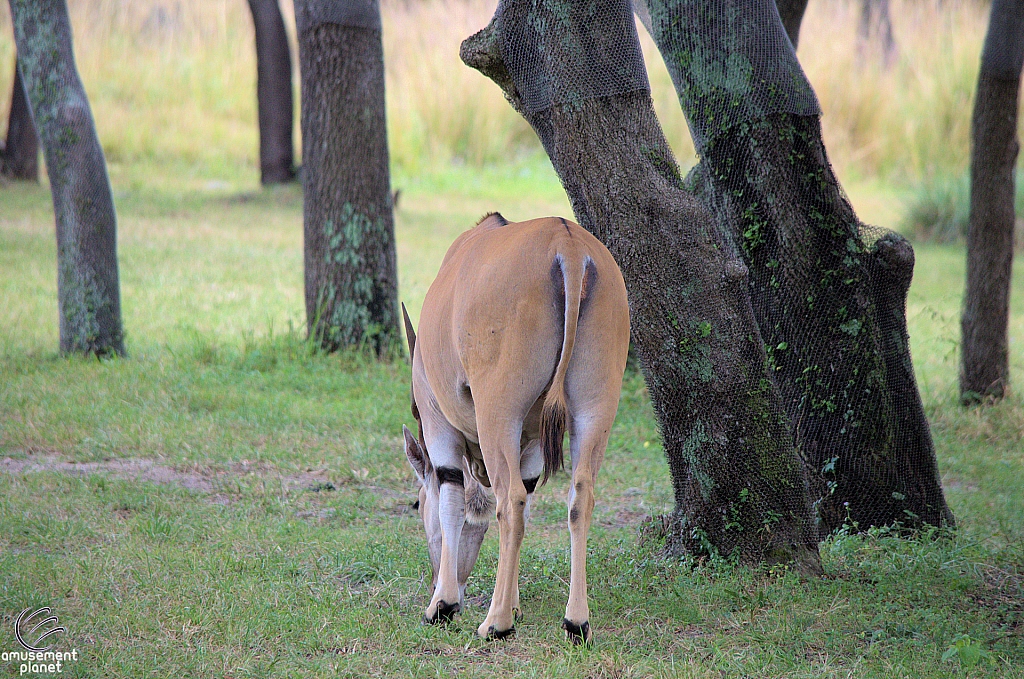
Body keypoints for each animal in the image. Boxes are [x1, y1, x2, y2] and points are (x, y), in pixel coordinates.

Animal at [401, 213, 626, 643]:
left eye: (418, 504)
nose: (438, 579)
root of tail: (568, 246)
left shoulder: (439, 424)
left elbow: (454, 498)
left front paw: (443, 604)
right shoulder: (533, 443)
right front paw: (515, 603)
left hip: (498, 413)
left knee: (511, 502)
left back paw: (496, 623)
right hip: (594, 410)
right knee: (580, 497)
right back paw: (576, 622)